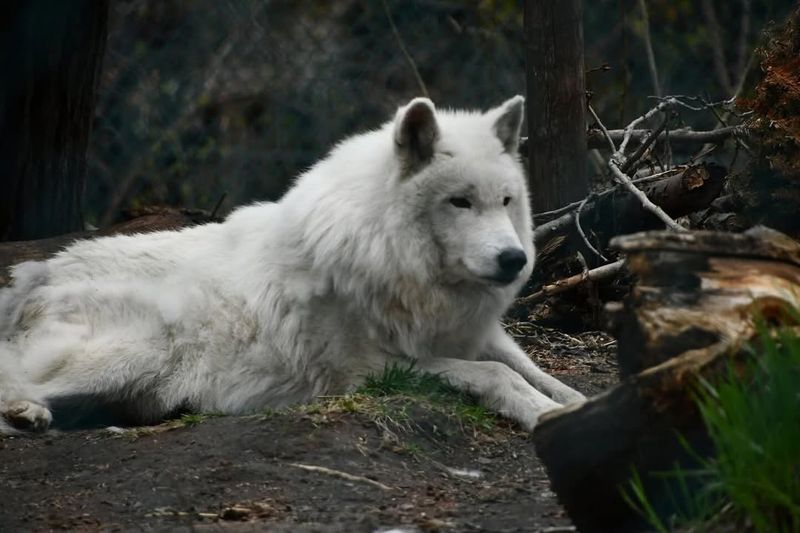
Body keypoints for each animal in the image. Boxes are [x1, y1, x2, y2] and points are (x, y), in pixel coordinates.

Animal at [0, 97, 588, 434]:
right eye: (459, 202)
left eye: (506, 201)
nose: (514, 259)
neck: (396, 264)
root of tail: (38, 275)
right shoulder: (368, 370)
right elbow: (495, 375)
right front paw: (544, 413)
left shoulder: (472, 334)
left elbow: (535, 370)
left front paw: (579, 403)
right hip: (141, 352)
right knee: (13, 376)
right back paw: (25, 414)